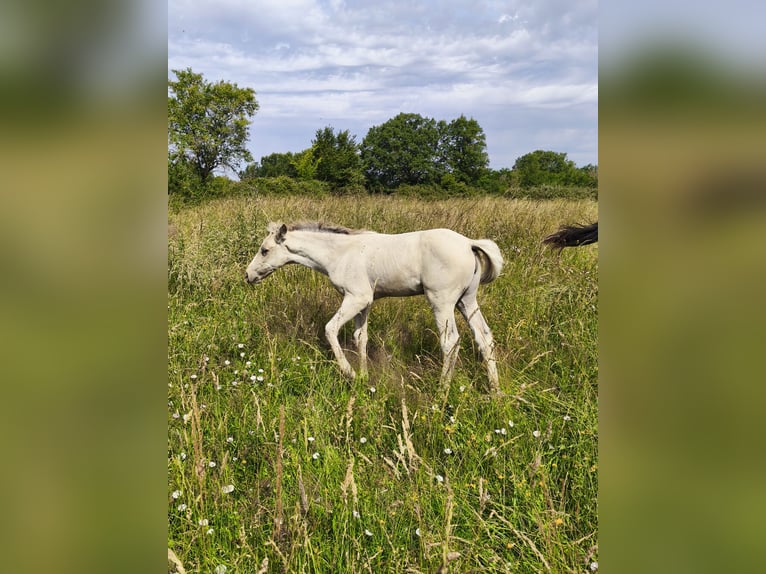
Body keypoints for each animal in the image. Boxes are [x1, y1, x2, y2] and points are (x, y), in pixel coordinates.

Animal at [245, 221, 504, 393]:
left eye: (264, 250)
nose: (247, 275)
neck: (340, 253)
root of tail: (469, 243)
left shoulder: (356, 298)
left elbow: (330, 329)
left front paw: (349, 373)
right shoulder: (365, 302)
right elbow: (361, 337)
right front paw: (364, 377)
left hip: (442, 301)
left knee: (450, 341)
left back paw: (442, 391)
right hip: (467, 300)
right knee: (484, 337)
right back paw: (495, 390)